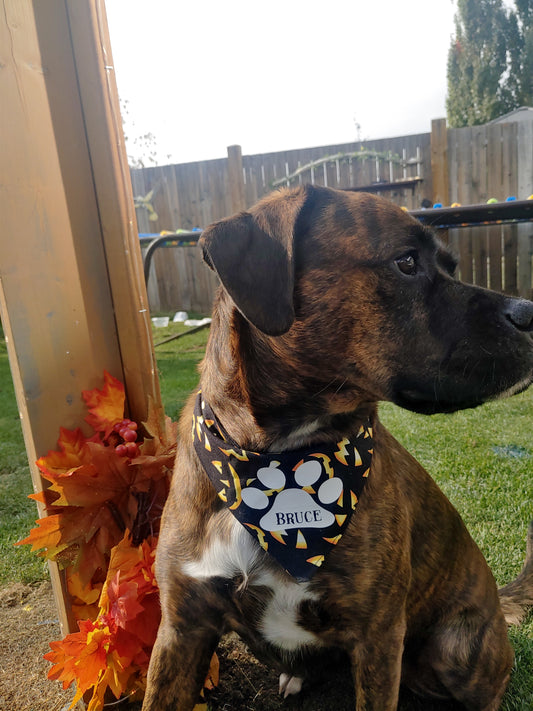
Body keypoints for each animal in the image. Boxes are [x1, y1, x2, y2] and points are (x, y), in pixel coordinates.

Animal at [140, 185, 532, 711]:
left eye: (449, 265)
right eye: (406, 262)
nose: (529, 312)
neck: (273, 462)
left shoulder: (378, 636)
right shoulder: (182, 629)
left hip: (455, 647)